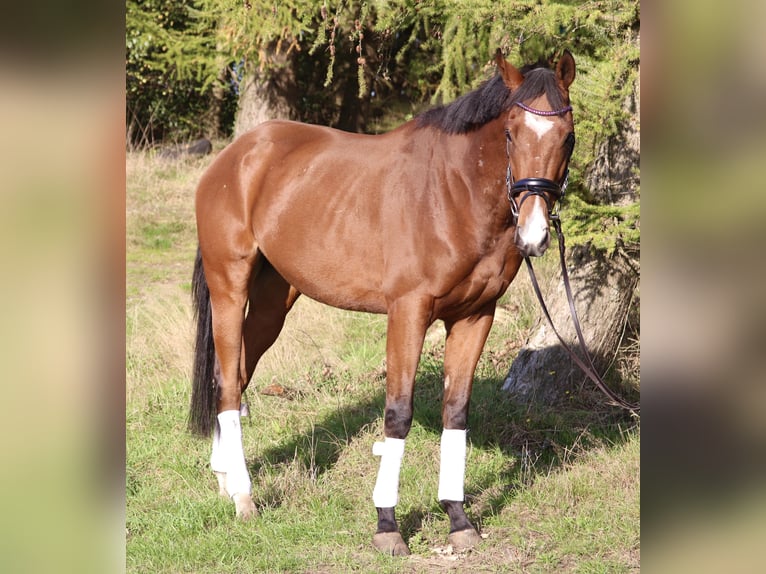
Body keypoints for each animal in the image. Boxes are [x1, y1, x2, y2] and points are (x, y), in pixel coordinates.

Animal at [190, 48, 576, 560]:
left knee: (232, 374)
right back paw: (244, 498)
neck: (452, 193)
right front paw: (387, 525)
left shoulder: (475, 316)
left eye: (567, 136)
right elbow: (398, 414)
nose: (534, 235)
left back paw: (225, 477)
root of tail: (235, 156)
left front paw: (458, 519)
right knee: (231, 386)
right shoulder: (408, 313)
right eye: (511, 132)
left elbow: (457, 410)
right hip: (230, 287)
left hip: (275, 300)